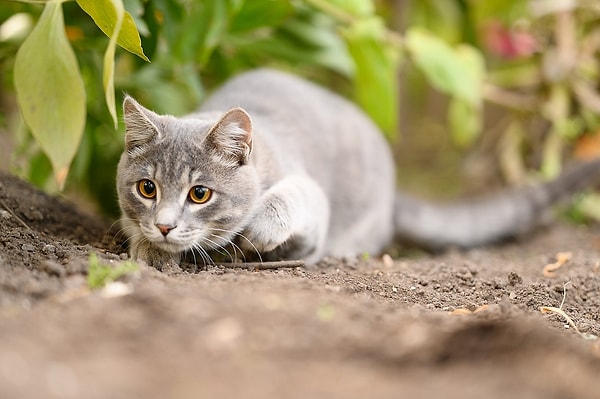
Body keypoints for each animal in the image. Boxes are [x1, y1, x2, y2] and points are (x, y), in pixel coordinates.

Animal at [116, 69, 600, 268]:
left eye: (200, 194)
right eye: (147, 188)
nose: (164, 226)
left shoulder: (308, 195)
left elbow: (291, 200)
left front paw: (257, 232)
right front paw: (149, 248)